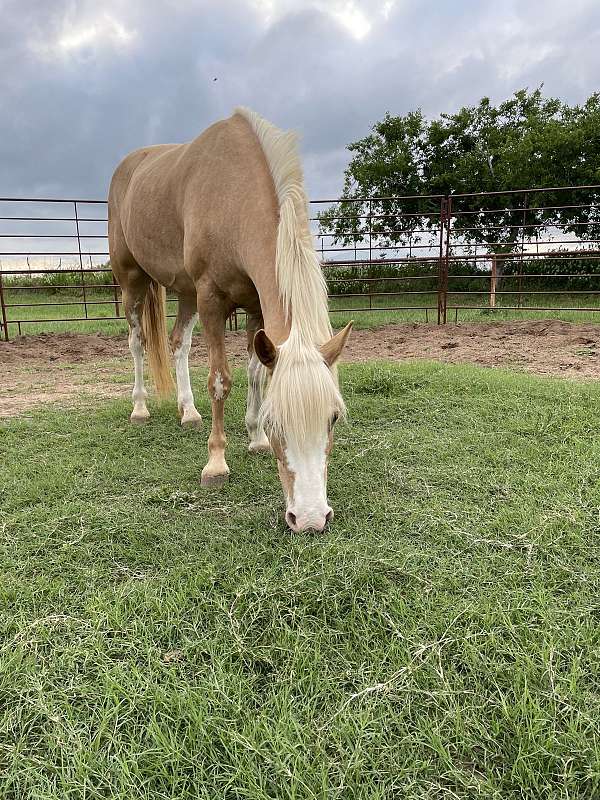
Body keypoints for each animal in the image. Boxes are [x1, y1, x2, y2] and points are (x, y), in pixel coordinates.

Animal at [108, 106, 352, 532]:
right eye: (277, 423)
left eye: (333, 418)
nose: (310, 520)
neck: (234, 194)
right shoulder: (211, 299)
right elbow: (220, 381)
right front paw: (216, 463)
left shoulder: (255, 306)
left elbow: (255, 371)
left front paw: (253, 439)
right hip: (134, 281)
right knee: (137, 342)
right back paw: (139, 408)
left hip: (185, 293)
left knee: (178, 343)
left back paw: (188, 413)